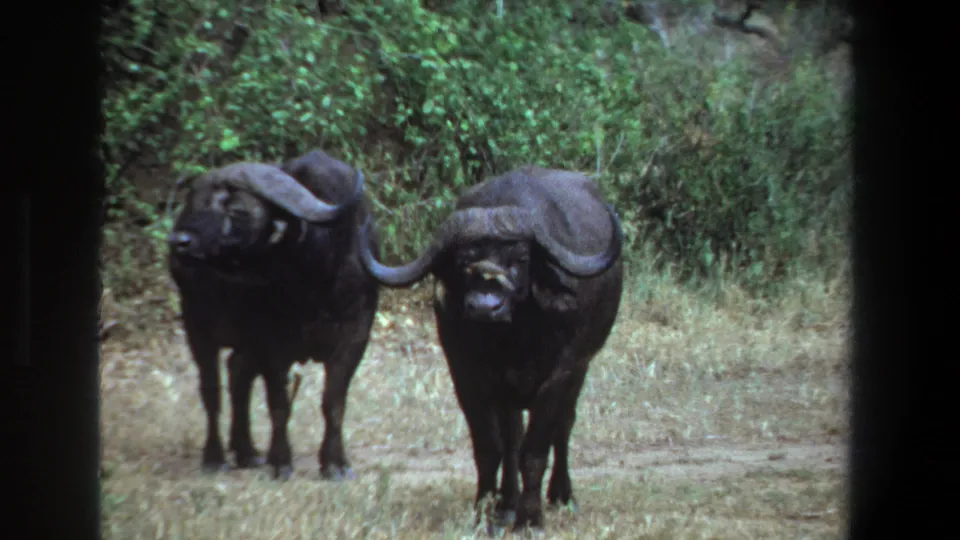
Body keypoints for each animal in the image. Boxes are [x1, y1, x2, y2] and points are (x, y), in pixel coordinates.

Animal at [167, 150, 381, 481]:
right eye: (195, 203)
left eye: (238, 210)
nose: (179, 241)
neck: (316, 277)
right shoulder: (272, 343)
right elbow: (279, 404)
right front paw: (281, 461)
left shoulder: (355, 335)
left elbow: (334, 402)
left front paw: (335, 463)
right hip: (197, 324)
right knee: (212, 390)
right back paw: (215, 457)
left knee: (238, 372)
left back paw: (246, 450)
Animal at [357, 167, 625, 530]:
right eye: (463, 262)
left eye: (520, 259)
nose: (486, 307)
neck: (512, 340)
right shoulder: (466, 376)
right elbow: (490, 448)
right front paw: (485, 512)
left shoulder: (562, 373)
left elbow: (535, 449)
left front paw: (531, 519)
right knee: (512, 438)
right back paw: (507, 504)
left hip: (579, 370)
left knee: (564, 425)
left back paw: (561, 495)